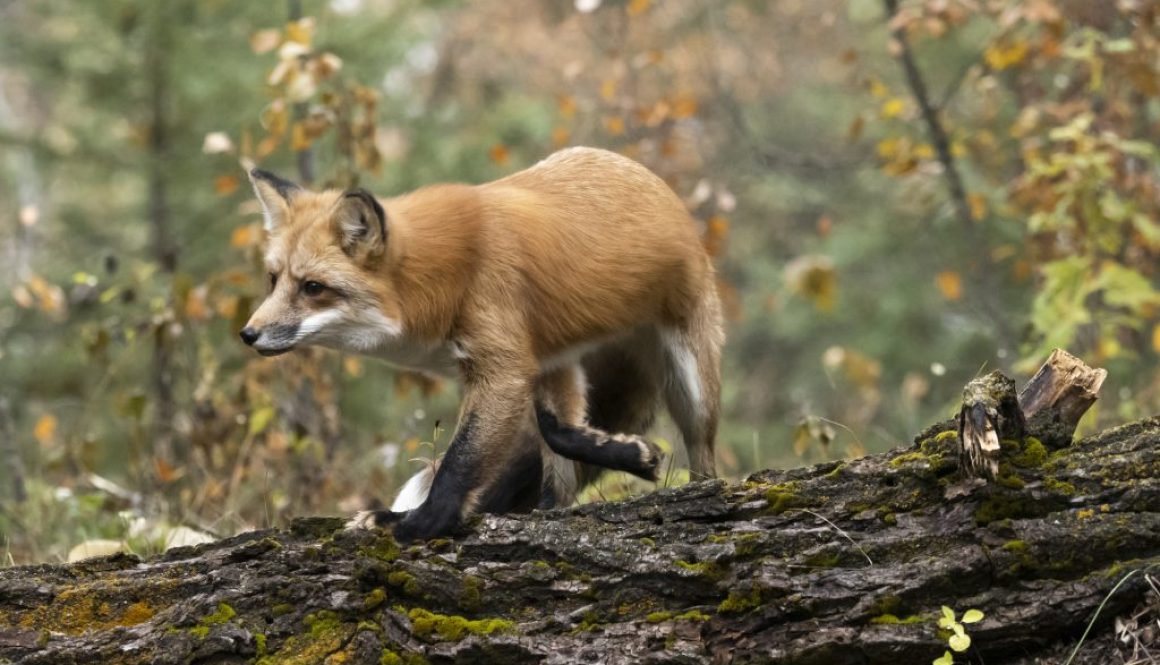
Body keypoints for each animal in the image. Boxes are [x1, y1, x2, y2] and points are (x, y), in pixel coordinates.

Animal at [240, 145, 719, 538]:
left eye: (313, 287)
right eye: (274, 280)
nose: (248, 334)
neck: (440, 278)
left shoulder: (503, 368)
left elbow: (459, 462)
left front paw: (417, 525)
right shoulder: (535, 361)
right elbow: (559, 433)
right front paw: (632, 455)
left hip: (691, 382)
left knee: (704, 457)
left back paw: (703, 494)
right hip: (565, 363)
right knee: (557, 460)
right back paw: (548, 509)